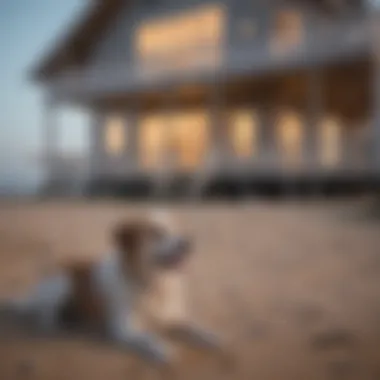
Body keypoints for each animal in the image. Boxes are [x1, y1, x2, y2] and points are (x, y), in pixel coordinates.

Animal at [0, 212, 233, 376]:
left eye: (177, 228)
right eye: (156, 232)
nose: (189, 242)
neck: (153, 285)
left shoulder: (172, 317)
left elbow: (193, 327)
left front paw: (210, 336)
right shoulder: (123, 329)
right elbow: (148, 336)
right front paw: (162, 348)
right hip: (60, 284)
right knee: (43, 315)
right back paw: (57, 325)